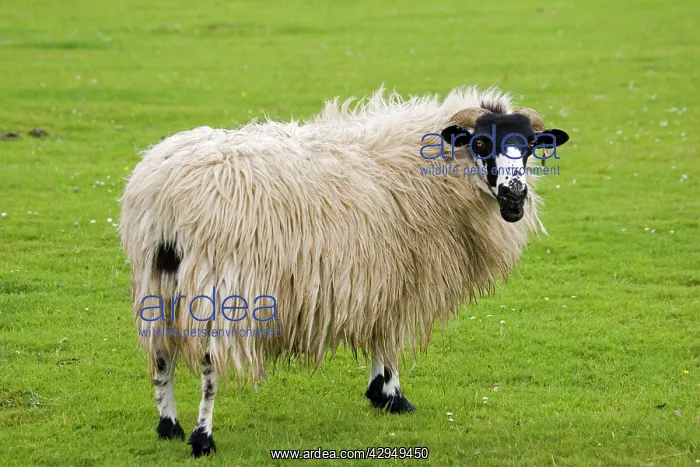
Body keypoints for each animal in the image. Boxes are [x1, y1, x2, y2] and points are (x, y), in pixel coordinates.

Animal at [119, 85, 570, 457]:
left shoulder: (377, 273)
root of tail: (165, 193)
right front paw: (392, 394)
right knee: (210, 362)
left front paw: (380, 393)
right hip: (224, 286)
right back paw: (202, 438)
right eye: (480, 143)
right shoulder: (398, 272)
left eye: (531, 147)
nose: (515, 197)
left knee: (160, 354)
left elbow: (376, 330)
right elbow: (388, 334)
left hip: (155, 278)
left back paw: (169, 426)